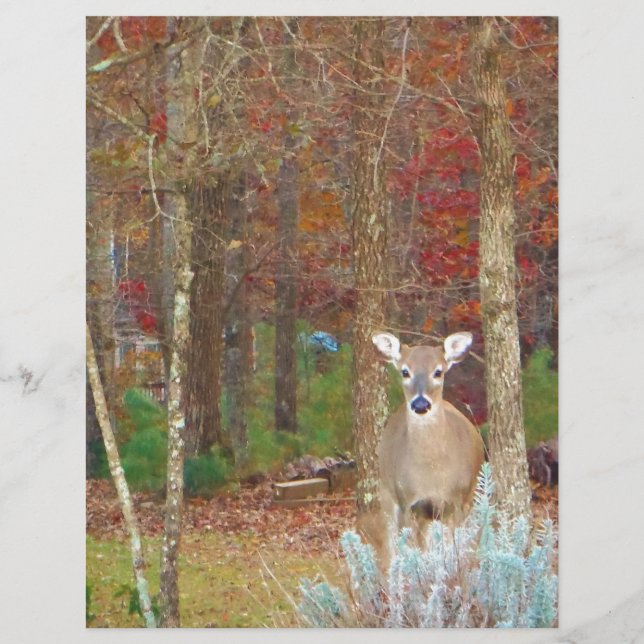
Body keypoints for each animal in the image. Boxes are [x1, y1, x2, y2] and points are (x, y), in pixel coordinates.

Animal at [357, 331, 484, 569]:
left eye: (438, 371)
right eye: (405, 371)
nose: (420, 404)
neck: (432, 473)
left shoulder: (457, 501)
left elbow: (454, 554)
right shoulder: (409, 502)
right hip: (388, 495)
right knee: (391, 549)